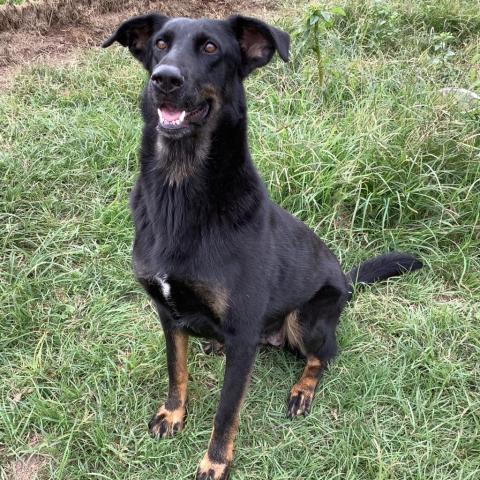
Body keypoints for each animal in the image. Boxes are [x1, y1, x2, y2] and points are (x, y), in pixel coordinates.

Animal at [103, 14, 422, 480]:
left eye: (211, 49)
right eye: (160, 44)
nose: (164, 79)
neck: (180, 188)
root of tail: (346, 280)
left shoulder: (242, 339)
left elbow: (226, 410)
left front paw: (216, 462)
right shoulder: (168, 314)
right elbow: (176, 371)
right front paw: (173, 414)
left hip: (306, 320)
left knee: (325, 355)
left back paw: (302, 390)